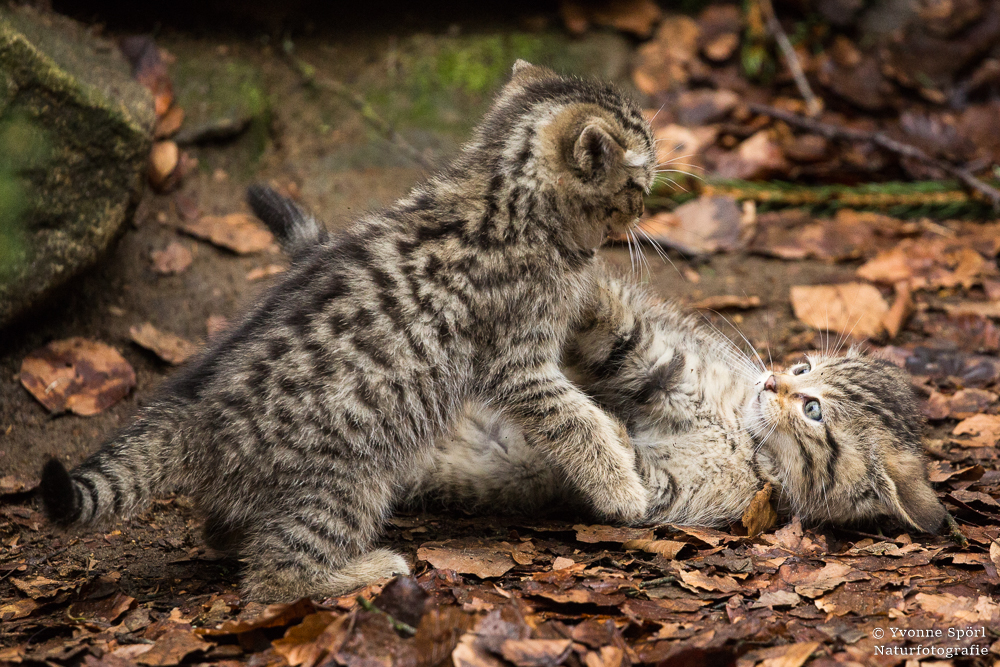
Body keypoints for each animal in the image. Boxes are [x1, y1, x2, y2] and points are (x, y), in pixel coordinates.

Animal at [39, 64, 660, 604]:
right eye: (639, 183)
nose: (644, 210)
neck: (505, 198)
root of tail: (195, 414)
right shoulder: (520, 364)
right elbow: (574, 420)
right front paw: (622, 489)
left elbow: (587, 413)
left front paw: (621, 444)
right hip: (350, 477)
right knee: (273, 576)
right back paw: (361, 570)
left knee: (230, 534)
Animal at [404, 274, 944, 536]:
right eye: (804, 366)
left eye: (813, 410)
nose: (771, 381)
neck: (740, 430)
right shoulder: (671, 365)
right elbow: (625, 335)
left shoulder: (682, 491)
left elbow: (627, 471)